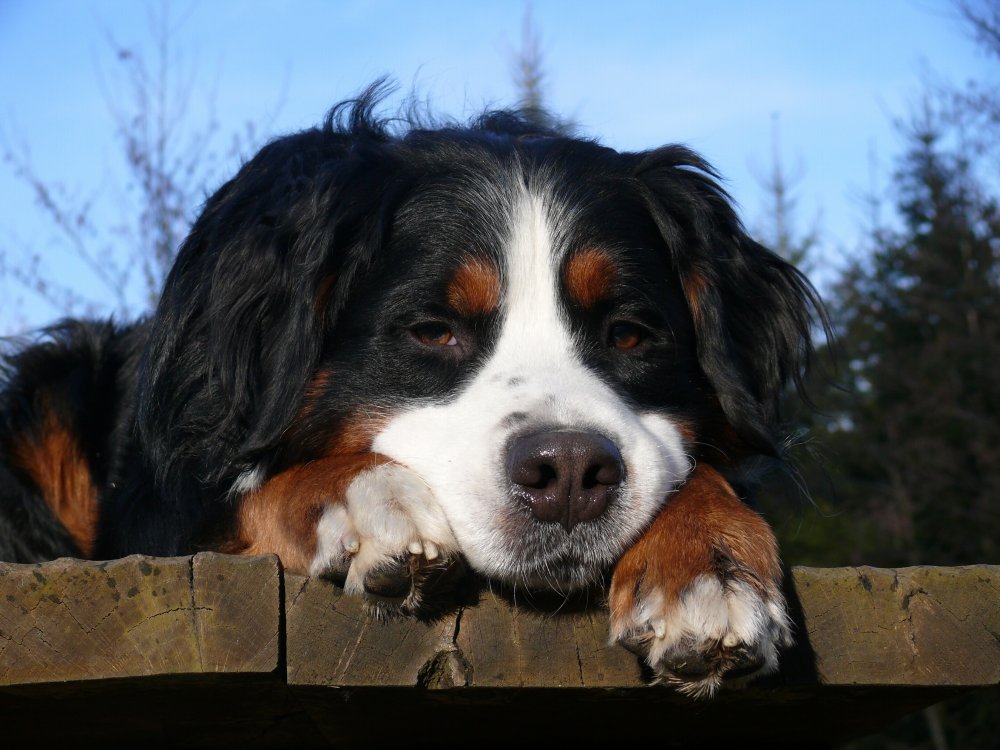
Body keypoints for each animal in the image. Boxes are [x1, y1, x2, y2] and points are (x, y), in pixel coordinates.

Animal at [0, 86, 820, 700]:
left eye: (627, 335)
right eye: (432, 331)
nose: (567, 473)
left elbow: (699, 473)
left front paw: (709, 567)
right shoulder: (165, 516)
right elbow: (252, 489)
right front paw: (369, 495)